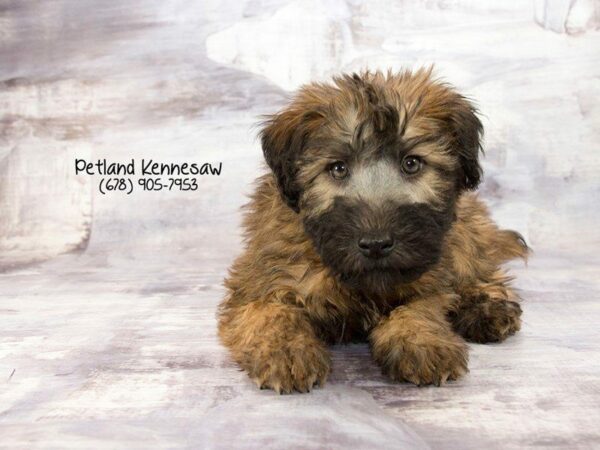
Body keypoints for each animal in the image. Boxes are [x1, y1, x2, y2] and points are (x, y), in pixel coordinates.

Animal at [218, 68, 528, 392]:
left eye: (412, 163)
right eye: (338, 168)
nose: (376, 244)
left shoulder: (428, 276)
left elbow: (419, 307)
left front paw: (422, 342)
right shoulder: (260, 280)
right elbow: (272, 313)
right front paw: (288, 352)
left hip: (463, 230)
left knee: (477, 266)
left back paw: (487, 307)